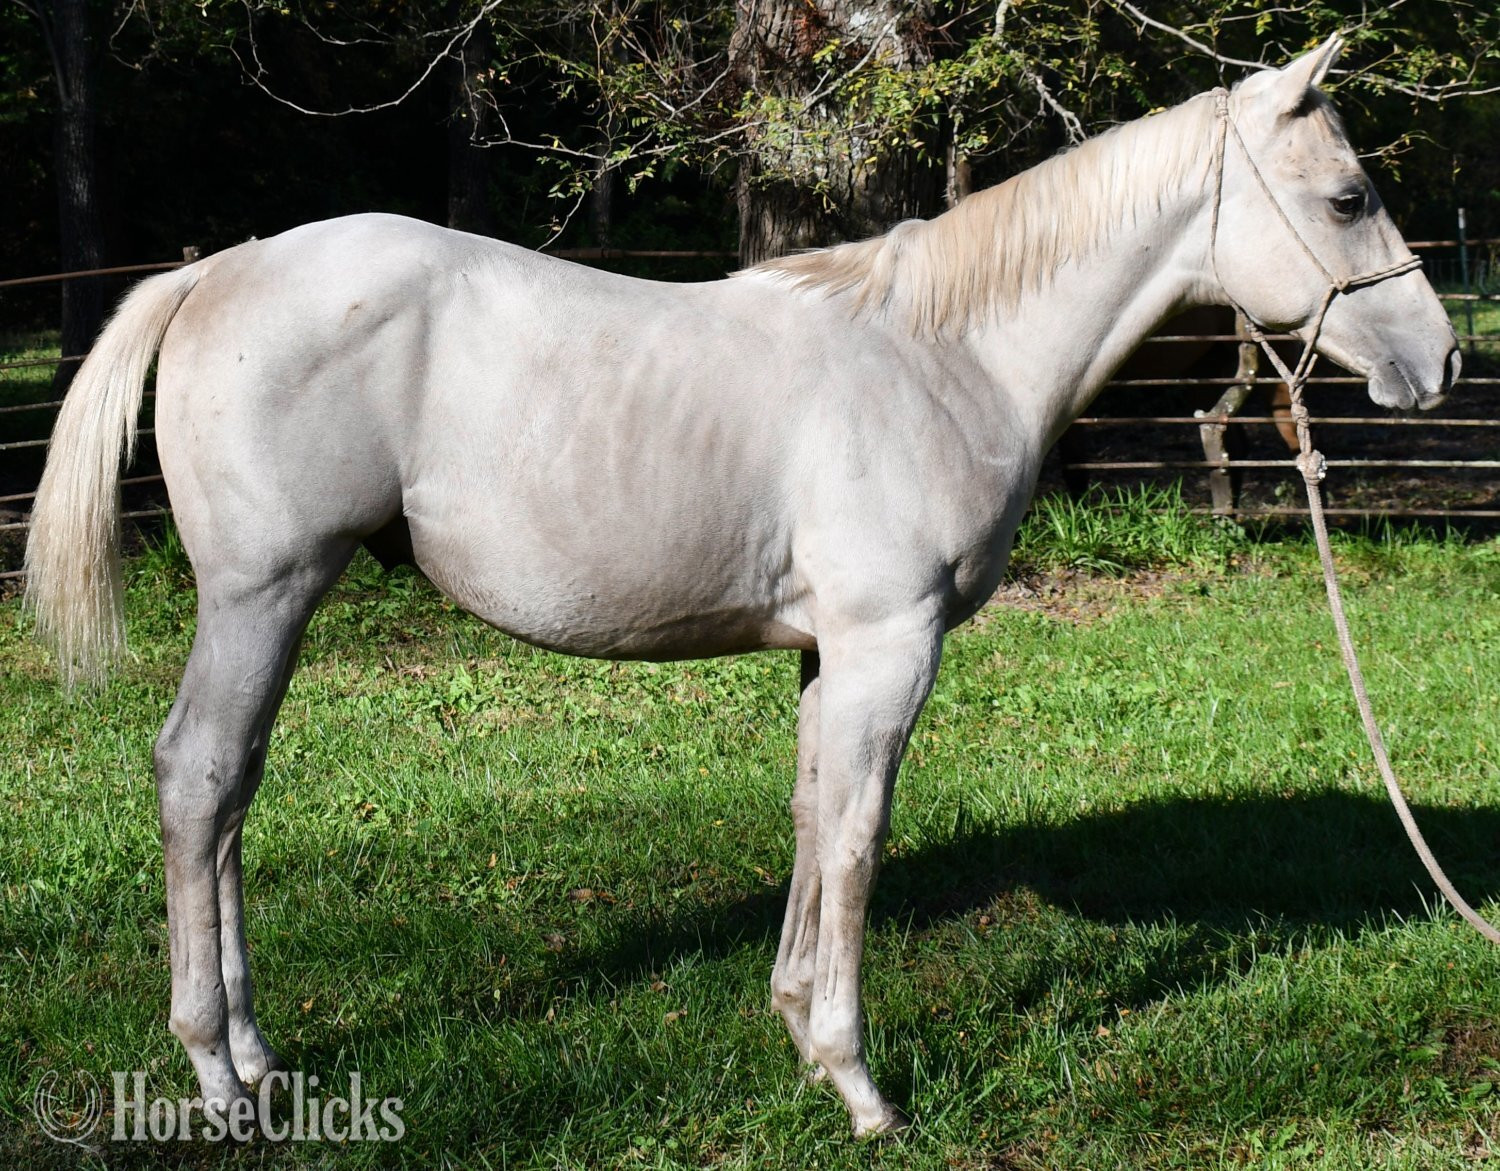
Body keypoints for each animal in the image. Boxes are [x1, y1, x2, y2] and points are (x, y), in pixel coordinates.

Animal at [25, 36, 1458, 1137]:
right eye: (1348, 198)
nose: (1438, 361)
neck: (943, 354)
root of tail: (217, 269)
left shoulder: (832, 651)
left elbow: (813, 814)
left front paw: (797, 1034)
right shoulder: (892, 645)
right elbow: (862, 835)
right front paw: (862, 1084)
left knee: (230, 795)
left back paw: (257, 1055)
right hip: (262, 594)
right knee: (201, 779)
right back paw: (217, 1075)